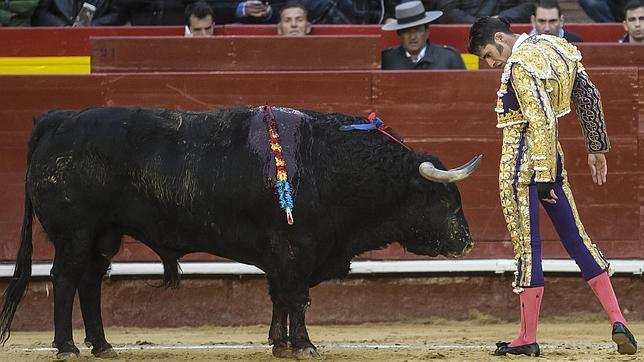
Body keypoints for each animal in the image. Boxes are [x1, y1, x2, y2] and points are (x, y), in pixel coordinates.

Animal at [0, 106, 480, 358]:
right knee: (64, 279)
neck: (333, 166)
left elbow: (279, 298)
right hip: (75, 233)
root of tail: (59, 119)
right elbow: (296, 299)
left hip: (104, 234)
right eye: (444, 200)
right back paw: (67, 346)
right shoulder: (295, 250)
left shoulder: (282, 255)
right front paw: (303, 345)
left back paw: (101, 344)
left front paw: (280, 344)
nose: (466, 241)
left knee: (90, 282)